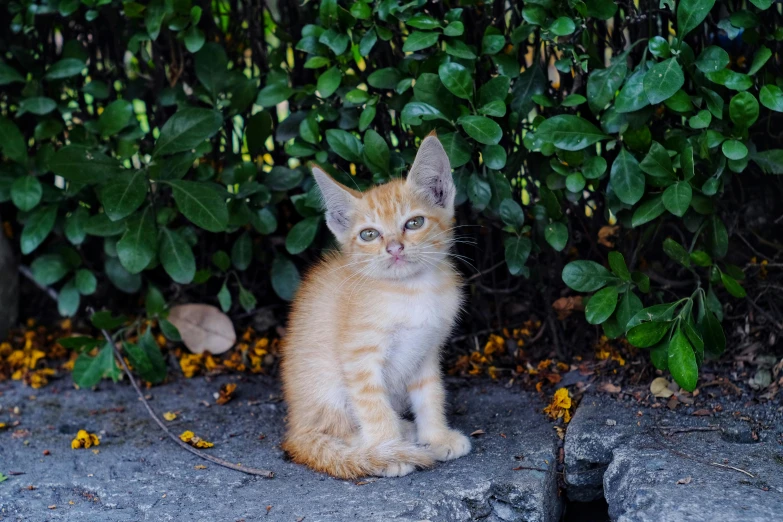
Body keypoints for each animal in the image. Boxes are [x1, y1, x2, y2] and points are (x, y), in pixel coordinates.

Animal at [278, 134, 468, 476]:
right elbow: (373, 405)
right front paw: (388, 451)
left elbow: (431, 394)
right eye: (369, 234)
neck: (411, 292)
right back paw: (376, 446)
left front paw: (436, 437)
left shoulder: (427, 349)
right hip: (325, 389)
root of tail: (295, 429)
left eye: (414, 222)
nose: (394, 248)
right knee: (330, 430)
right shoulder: (359, 357)